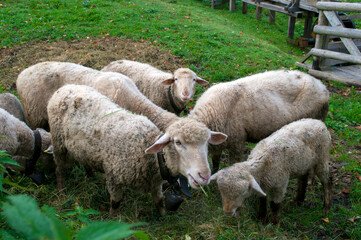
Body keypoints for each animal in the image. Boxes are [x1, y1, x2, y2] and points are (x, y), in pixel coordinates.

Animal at [45, 85, 225, 216]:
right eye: (178, 142)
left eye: (207, 142)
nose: (204, 175)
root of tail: (64, 88)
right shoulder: (114, 177)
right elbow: (115, 202)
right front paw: (114, 220)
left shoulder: (155, 183)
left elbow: (159, 200)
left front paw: (163, 217)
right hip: (58, 141)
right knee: (59, 168)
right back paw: (61, 191)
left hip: (82, 148)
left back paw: (91, 175)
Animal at [188, 69, 330, 171]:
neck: (211, 110)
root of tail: (323, 87)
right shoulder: (218, 143)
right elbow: (215, 162)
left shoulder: (237, 142)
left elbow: (233, 163)